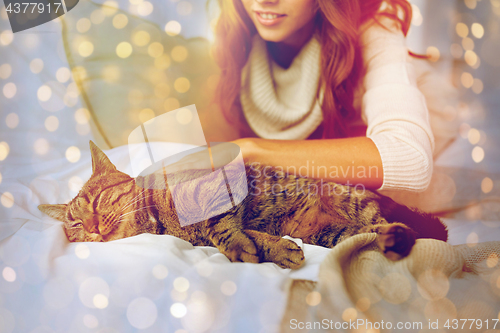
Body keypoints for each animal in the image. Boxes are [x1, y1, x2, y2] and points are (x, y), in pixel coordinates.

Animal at [38, 141, 446, 268]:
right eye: (75, 225)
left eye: (97, 200)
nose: (91, 226)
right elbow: (249, 235)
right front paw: (273, 249)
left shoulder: (220, 193)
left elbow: (222, 226)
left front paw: (240, 245)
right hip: (332, 233)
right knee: (366, 235)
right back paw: (387, 239)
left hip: (350, 199)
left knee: (409, 231)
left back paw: (398, 236)